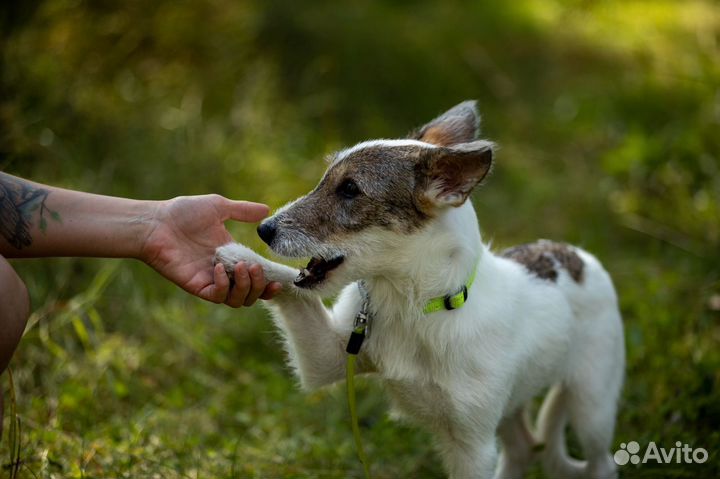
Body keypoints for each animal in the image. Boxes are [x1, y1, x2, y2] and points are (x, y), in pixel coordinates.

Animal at [215, 102, 624, 479]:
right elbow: (294, 287)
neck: (411, 306)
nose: (264, 230)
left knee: (601, 462)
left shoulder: (472, 447)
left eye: (350, 189)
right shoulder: (326, 358)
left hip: (591, 406)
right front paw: (240, 257)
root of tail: (578, 255)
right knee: (523, 447)